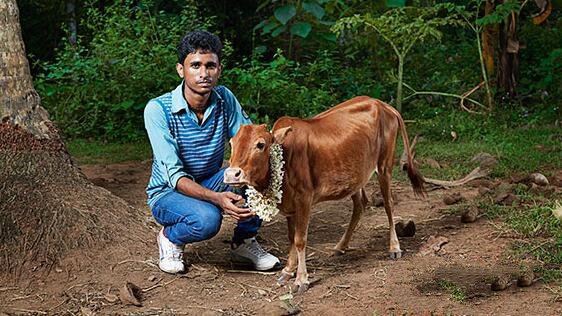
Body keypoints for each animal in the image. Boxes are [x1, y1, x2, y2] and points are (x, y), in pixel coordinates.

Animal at [221, 97, 422, 294]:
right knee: (360, 204)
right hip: (356, 174)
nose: (232, 174)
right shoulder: (290, 204)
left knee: (388, 204)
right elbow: (291, 237)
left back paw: (394, 247)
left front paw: (302, 279)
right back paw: (341, 246)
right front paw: (288, 270)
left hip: (384, 165)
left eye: (260, 144)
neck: (285, 155)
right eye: (231, 143)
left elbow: (300, 240)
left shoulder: (304, 198)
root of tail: (384, 105)